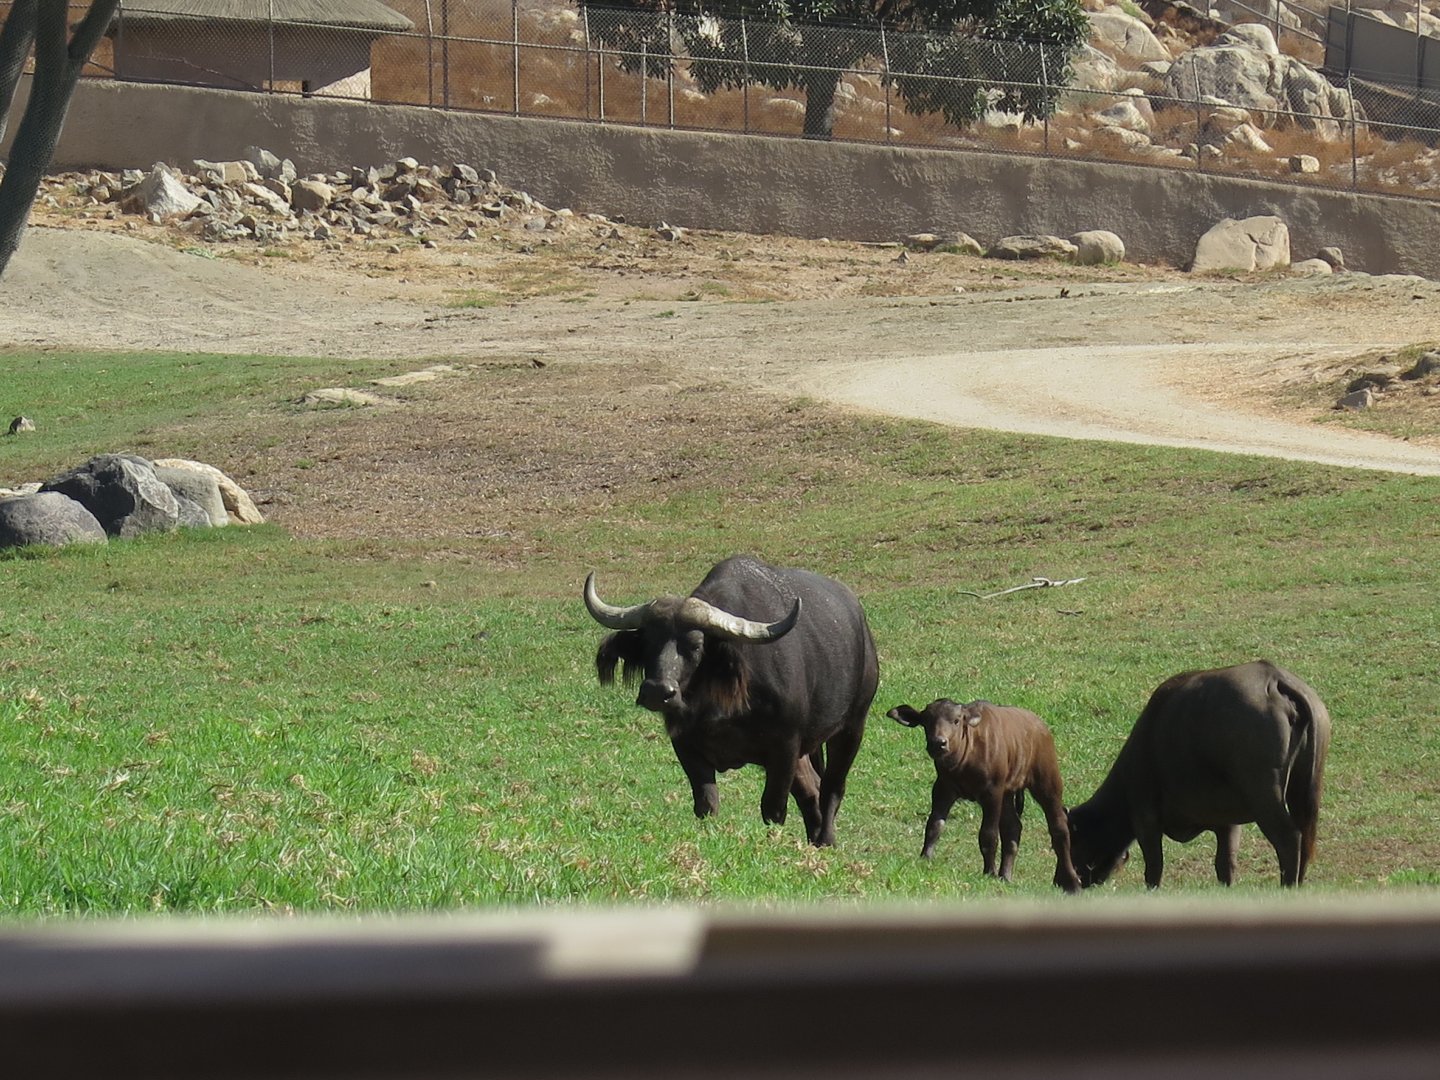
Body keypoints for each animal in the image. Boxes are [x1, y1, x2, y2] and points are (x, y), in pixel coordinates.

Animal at [584, 555, 878, 846]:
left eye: (696, 645)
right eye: (647, 642)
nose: (658, 691)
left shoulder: (785, 747)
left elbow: (773, 807)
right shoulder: (685, 744)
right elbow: (706, 802)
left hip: (852, 726)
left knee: (832, 786)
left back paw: (826, 840)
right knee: (812, 789)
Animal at [888, 699, 1081, 892]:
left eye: (956, 720)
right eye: (926, 721)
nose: (938, 743)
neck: (965, 760)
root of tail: (1041, 727)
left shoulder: (992, 792)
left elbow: (988, 835)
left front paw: (989, 872)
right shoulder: (943, 787)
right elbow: (934, 825)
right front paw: (925, 857)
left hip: (1047, 782)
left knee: (1058, 827)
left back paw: (1071, 881)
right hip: (1007, 793)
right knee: (1013, 828)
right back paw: (1006, 876)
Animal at [1067, 660, 1332, 889]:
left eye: (1074, 843)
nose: (1066, 881)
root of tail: (1274, 681)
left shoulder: (1145, 818)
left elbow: (1154, 867)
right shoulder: (1228, 824)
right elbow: (1225, 865)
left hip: (1266, 796)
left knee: (1289, 838)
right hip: (1304, 788)